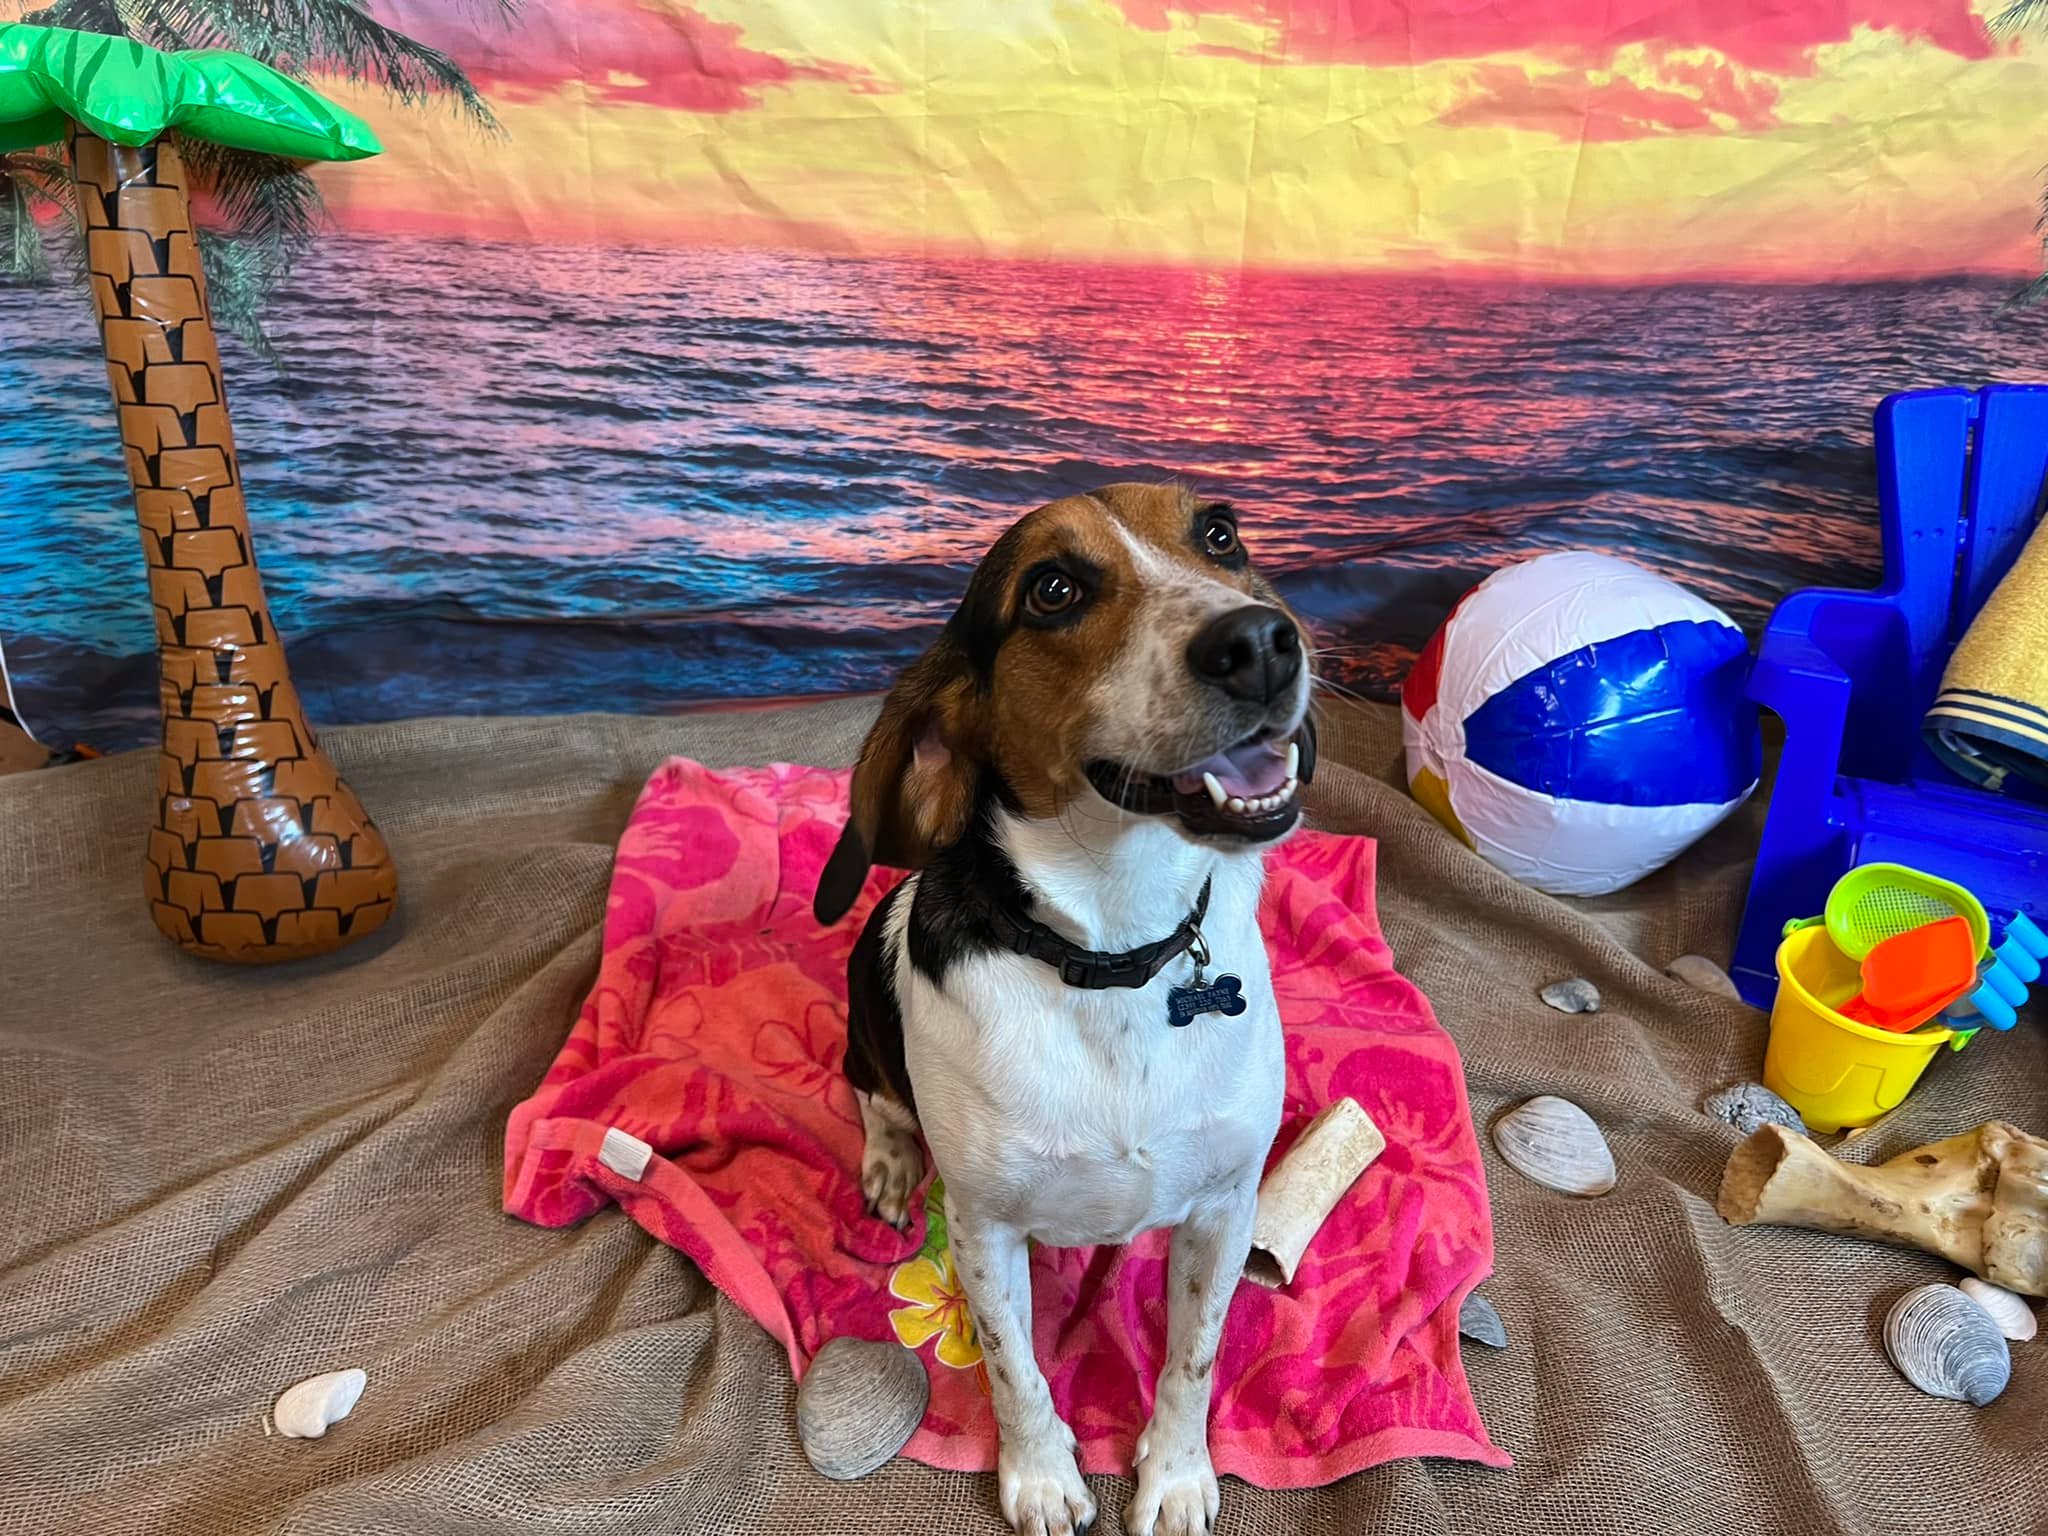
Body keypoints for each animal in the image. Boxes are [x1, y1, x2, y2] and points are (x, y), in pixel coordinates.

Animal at [813, 483, 1316, 1536]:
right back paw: (889, 1161)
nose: (1261, 642)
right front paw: (1042, 1476)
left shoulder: (1225, 1209)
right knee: (872, 1096)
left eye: (1220, 533)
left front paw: (1175, 1475)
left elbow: (1193, 1360)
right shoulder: (983, 1231)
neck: (1115, 953)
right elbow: (1015, 1372)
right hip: (863, 1028)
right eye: (1053, 590)